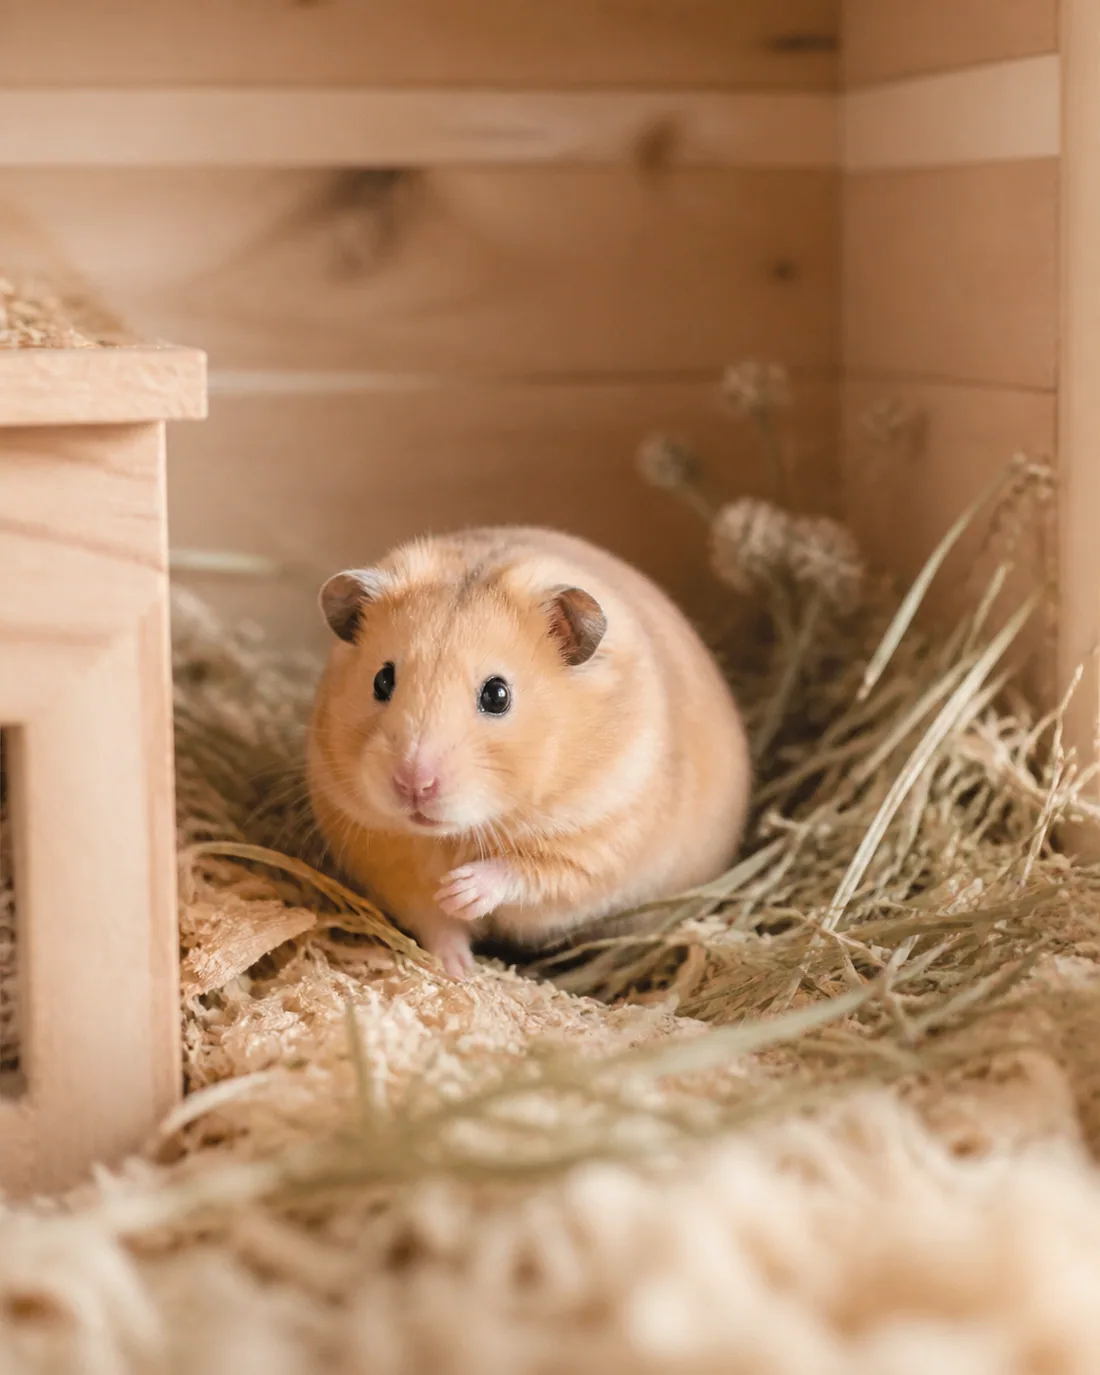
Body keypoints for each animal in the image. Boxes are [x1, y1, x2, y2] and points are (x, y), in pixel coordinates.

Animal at [306, 526, 751, 978]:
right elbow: (434, 920)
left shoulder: (596, 847)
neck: (460, 833)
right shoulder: (387, 863)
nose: (414, 785)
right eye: (382, 681)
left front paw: (461, 891)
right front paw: (458, 968)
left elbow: (523, 873)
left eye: (497, 695)